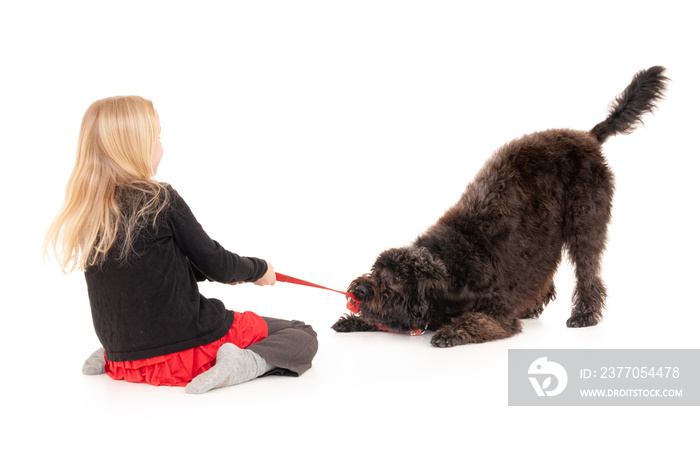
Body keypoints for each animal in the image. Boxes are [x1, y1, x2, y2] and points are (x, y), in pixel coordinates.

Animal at [334, 67, 668, 346]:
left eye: (396, 280)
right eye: (376, 270)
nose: (358, 291)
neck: (448, 265)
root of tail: (588, 136)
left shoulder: (496, 311)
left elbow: (476, 321)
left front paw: (450, 331)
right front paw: (352, 321)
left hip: (585, 224)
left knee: (588, 272)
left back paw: (584, 315)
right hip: (545, 238)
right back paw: (533, 306)